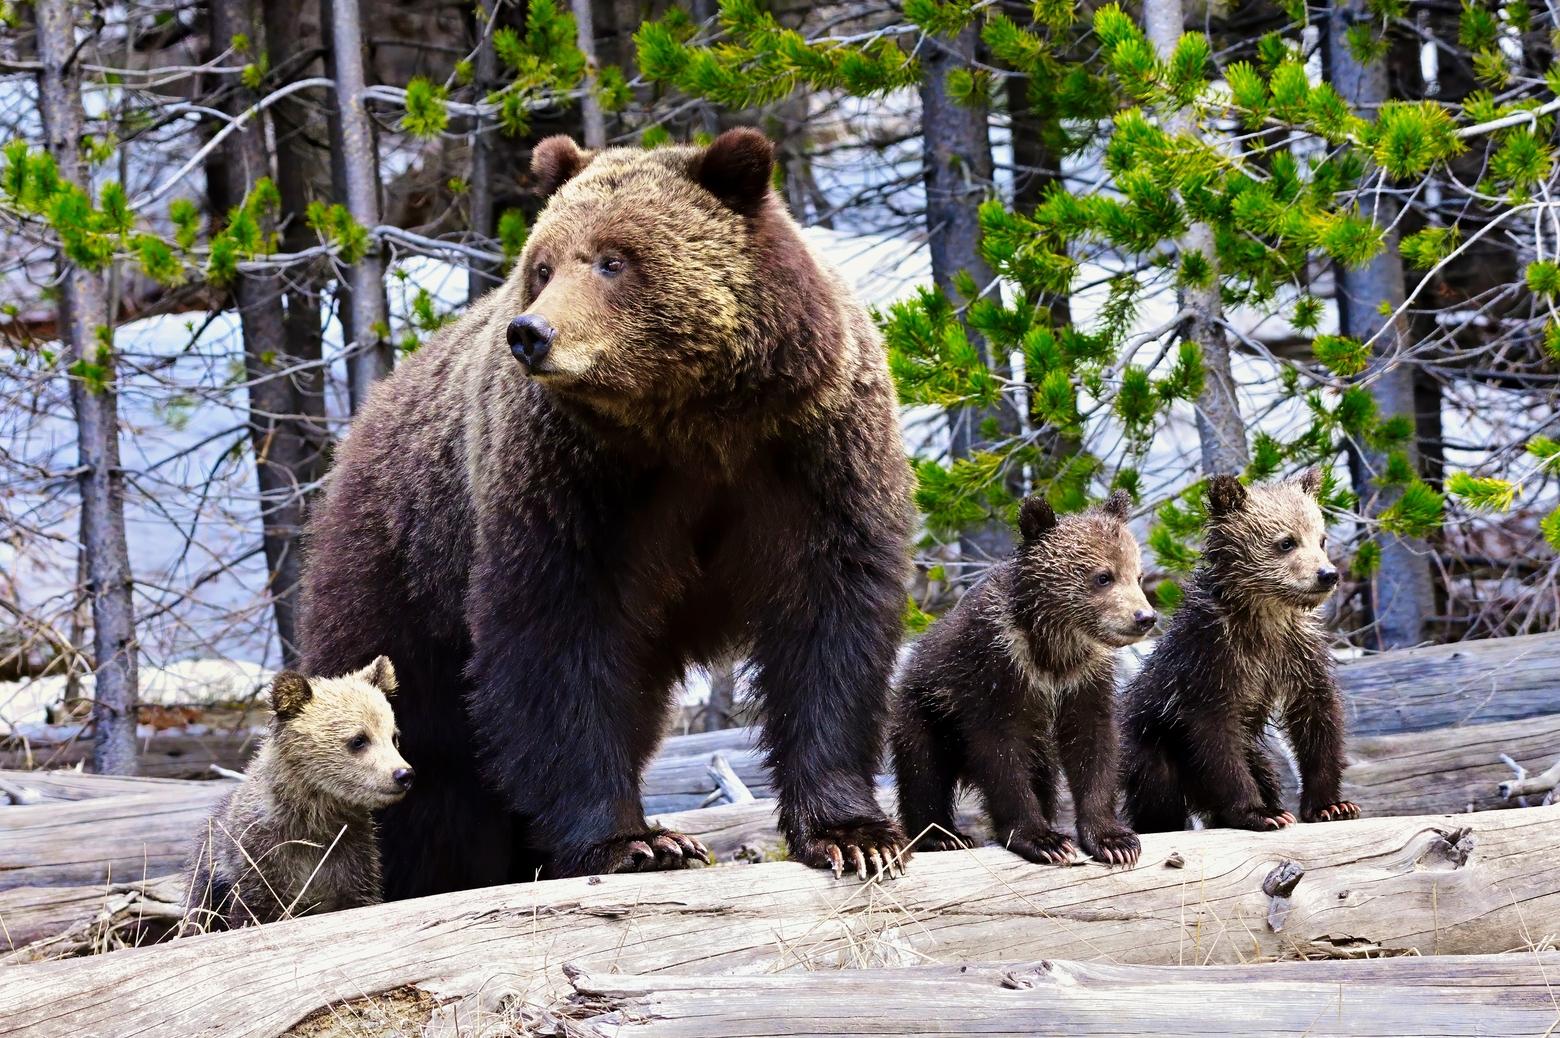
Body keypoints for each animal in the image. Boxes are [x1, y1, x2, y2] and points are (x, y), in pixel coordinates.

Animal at [301, 127, 911, 892]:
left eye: (613, 259)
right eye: (542, 264)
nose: (530, 332)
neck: (694, 421)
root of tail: (362, 426)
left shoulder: (809, 457)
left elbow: (829, 623)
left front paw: (853, 836)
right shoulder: (574, 485)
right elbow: (558, 645)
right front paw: (636, 842)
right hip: (402, 580)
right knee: (424, 753)